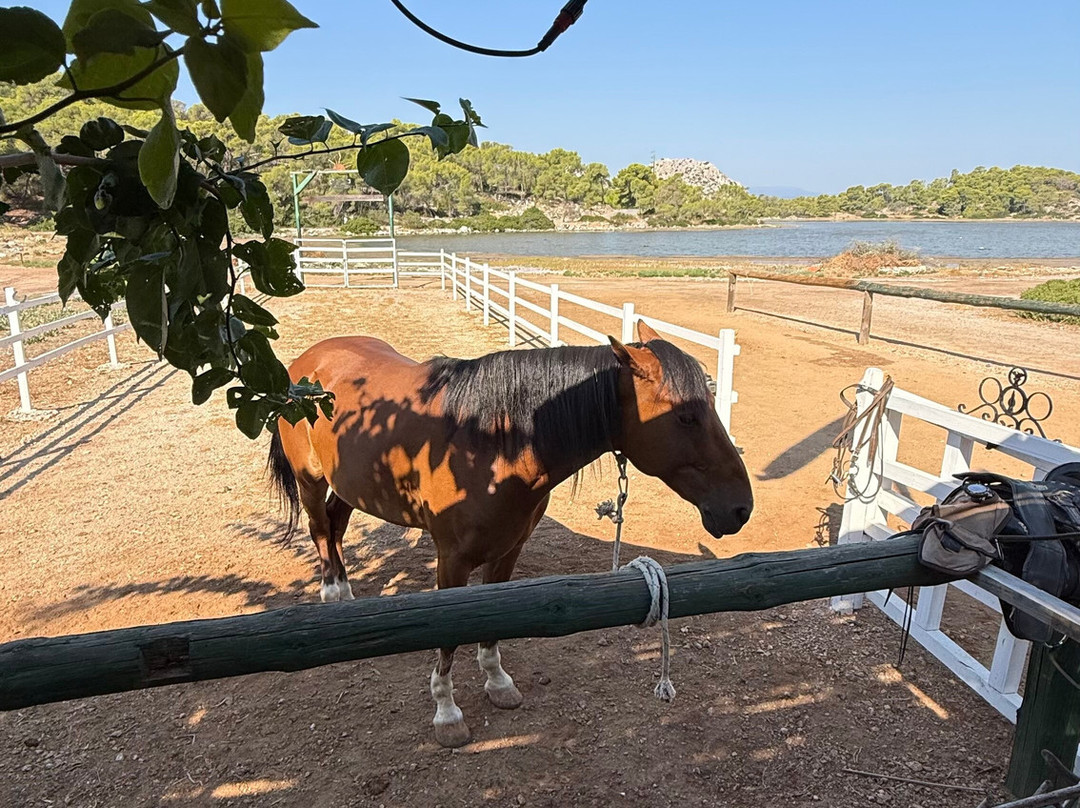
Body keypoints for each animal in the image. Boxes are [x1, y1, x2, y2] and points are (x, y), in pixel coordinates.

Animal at [267, 320, 753, 747]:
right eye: (686, 416)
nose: (740, 508)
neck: (487, 443)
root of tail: (308, 361)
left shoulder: (507, 551)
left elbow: (493, 626)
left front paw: (498, 683)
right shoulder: (451, 561)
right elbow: (448, 638)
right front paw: (447, 714)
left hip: (351, 482)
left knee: (336, 522)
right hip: (310, 478)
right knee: (319, 526)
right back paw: (334, 593)